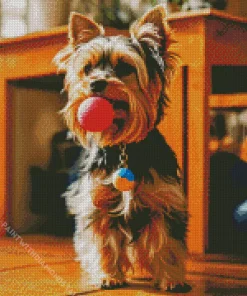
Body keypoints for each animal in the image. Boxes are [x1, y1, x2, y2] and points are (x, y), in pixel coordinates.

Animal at [54, 5, 190, 294]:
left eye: (125, 67)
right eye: (88, 69)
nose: (95, 83)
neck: (124, 146)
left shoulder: (165, 203)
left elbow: (167, 243)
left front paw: (172, 279)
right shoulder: (98, 204)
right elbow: (104, 243)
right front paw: (108, 276)